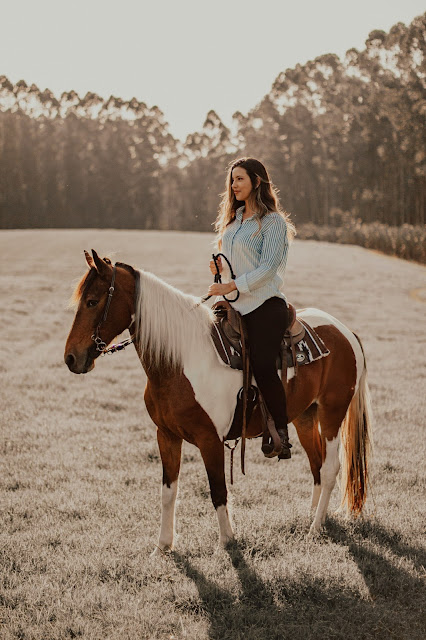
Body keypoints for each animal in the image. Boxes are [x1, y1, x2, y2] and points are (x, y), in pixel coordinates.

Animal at [65, 250, 372, 552]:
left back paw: (315, 528)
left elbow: (218, 490)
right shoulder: (166, 436)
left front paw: (227, 541)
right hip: (305, 417)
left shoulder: (210, 440)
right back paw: (313, 516)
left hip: (332, 412)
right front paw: (163, 546)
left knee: (330, 468)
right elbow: (168, 491)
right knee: (316, 463)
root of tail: (346, 332)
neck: (181, 360)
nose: (70, 358)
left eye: (92, 301)